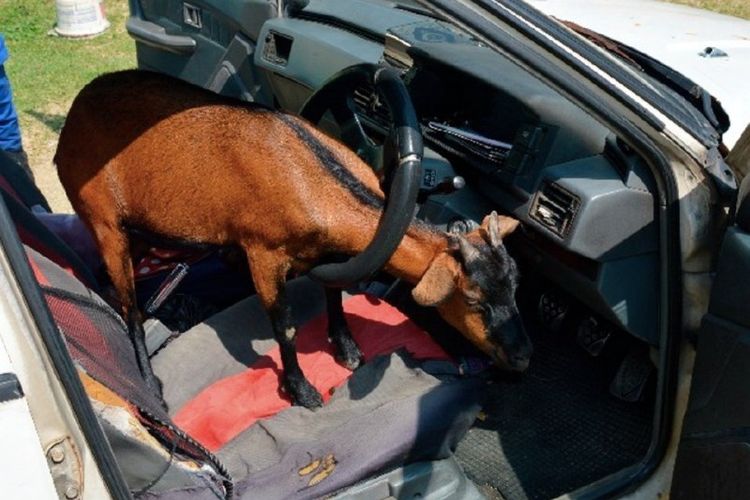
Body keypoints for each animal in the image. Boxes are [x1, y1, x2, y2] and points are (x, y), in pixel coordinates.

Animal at [54, 69, 536, 406]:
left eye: (515, 287)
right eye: (473, 299)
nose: (522, 358)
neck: (313, 177)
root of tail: (74, 113)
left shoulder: (328, 254)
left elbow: (335, 289)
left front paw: (347, 348)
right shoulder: (263, 252)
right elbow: (284, 327)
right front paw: (301, 390)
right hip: (101, 216)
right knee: (130, 306)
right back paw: (149, 380)